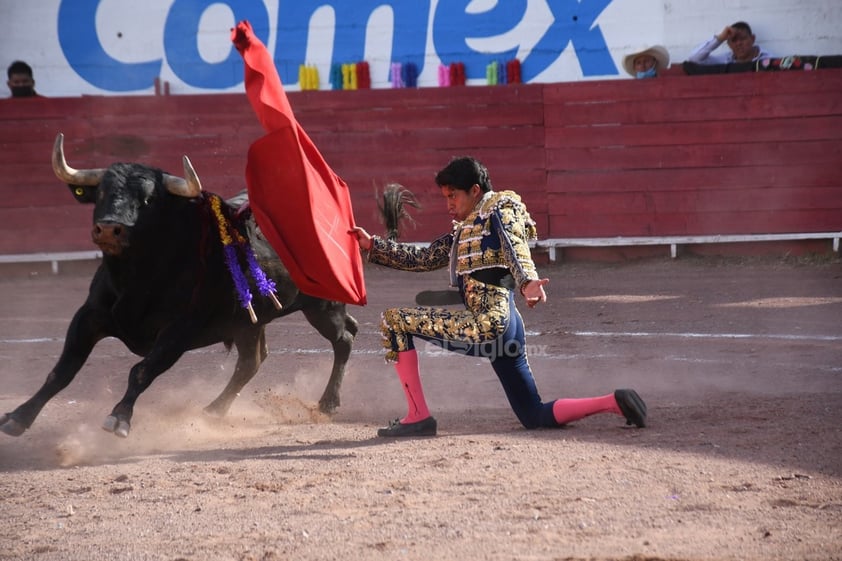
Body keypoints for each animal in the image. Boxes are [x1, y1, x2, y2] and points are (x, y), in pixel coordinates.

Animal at [0, 135, 358, 438]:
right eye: (100, 193)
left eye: (147, 200)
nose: (109, 228)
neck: (136, 277)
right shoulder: (88, 316)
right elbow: (61, 371)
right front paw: (18, 417)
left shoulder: (180, 331)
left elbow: (142, 370)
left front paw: (119, 417)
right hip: (249, 321)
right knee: (252, 361)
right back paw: (213, 410)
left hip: (323, 306)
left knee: (344, 338)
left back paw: (327, 403)